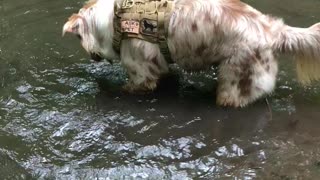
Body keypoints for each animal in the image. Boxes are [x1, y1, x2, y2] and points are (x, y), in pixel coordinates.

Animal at [62, 0, 320, 107]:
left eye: (78, 37)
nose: (91, 56)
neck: (116, 19)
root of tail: (273, 30)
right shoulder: (160, 67)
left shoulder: (141, 75)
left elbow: (126, 89)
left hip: (234, 84)